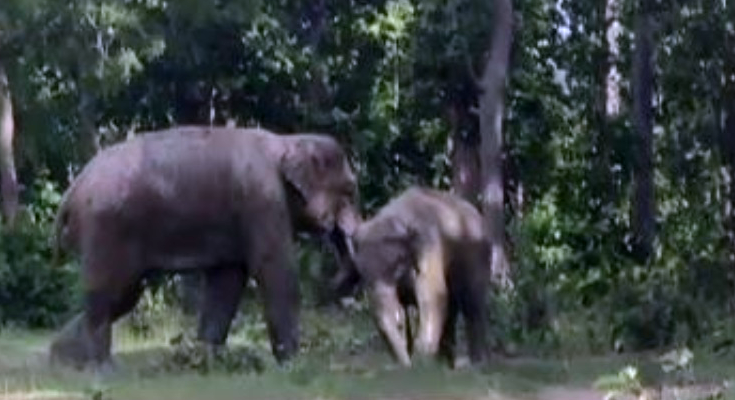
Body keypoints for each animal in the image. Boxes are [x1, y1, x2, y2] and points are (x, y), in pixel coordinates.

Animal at [48, 125, 360, 371]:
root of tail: (70, 193)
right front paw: (294, 364)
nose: (333, 282)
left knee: (122, 296)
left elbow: (227, 280)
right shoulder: (262, 201)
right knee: (110, 292)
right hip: (106, 229)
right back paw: (101, 368)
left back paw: (64, 359)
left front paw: (207, 360)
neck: (287, 141)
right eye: (349, 191)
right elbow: (274, 269)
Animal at [350, 186, 490, 368]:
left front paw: (421, 361)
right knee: (452, 310)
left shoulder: (430, 247)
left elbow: (433, 296)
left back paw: (477, 363)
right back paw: (445, 363)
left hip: (477, 254)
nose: (406, 366)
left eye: (397, 270)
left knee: (472, 304)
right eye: (362, 275)